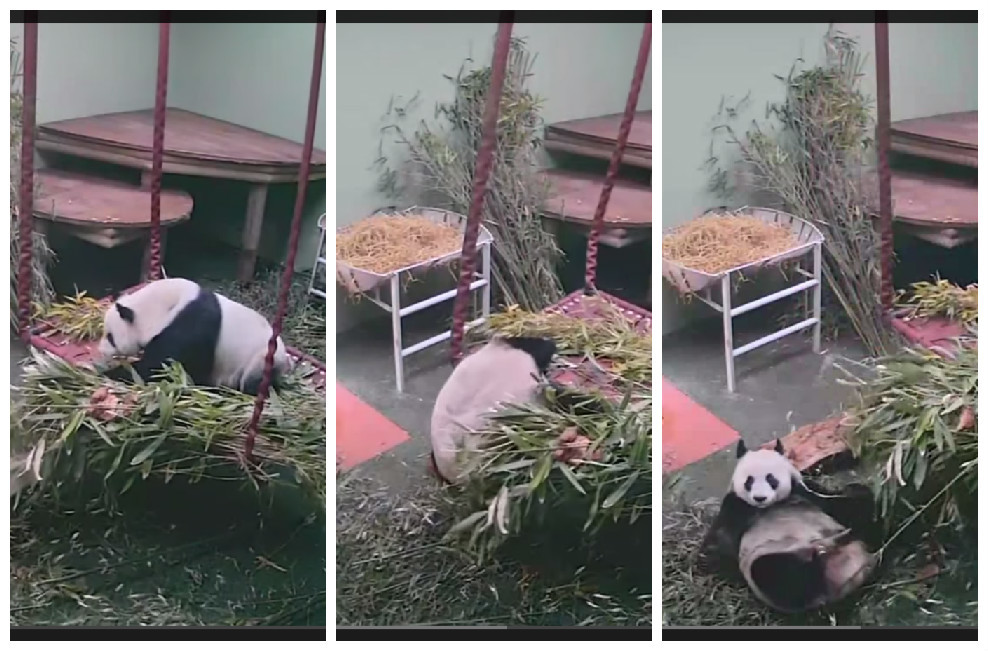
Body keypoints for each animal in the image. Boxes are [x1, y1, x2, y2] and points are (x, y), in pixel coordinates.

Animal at [95, 278, 290, 394]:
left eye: (110, 337)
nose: (101, 350)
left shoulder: (190, 327)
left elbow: (159, 368)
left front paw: (112, 374)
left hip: (261, 359)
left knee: (252, 383)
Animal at [696, 438, 880, 616]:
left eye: (771, 478)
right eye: (749, 480)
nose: (760, 498)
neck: (770, 505)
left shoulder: (805, 492)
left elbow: (845, 503)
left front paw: (857, 494)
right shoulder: (736, 508)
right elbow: (713, 554)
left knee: (872, 531)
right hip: (776, 563)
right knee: (778, 575)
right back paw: (819, 556)